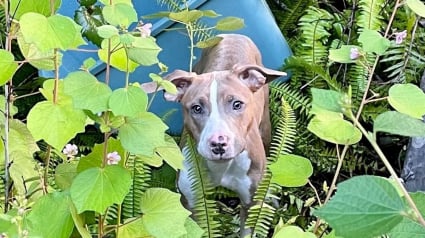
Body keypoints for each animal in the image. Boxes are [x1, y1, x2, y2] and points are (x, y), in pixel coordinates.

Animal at [142, 33, 284, 236]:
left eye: (237, 104)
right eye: (196, 108)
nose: (218, 143)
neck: (221, 167)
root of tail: (233, 34)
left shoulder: (249, 203)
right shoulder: (193, 202)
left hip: (265, 127)